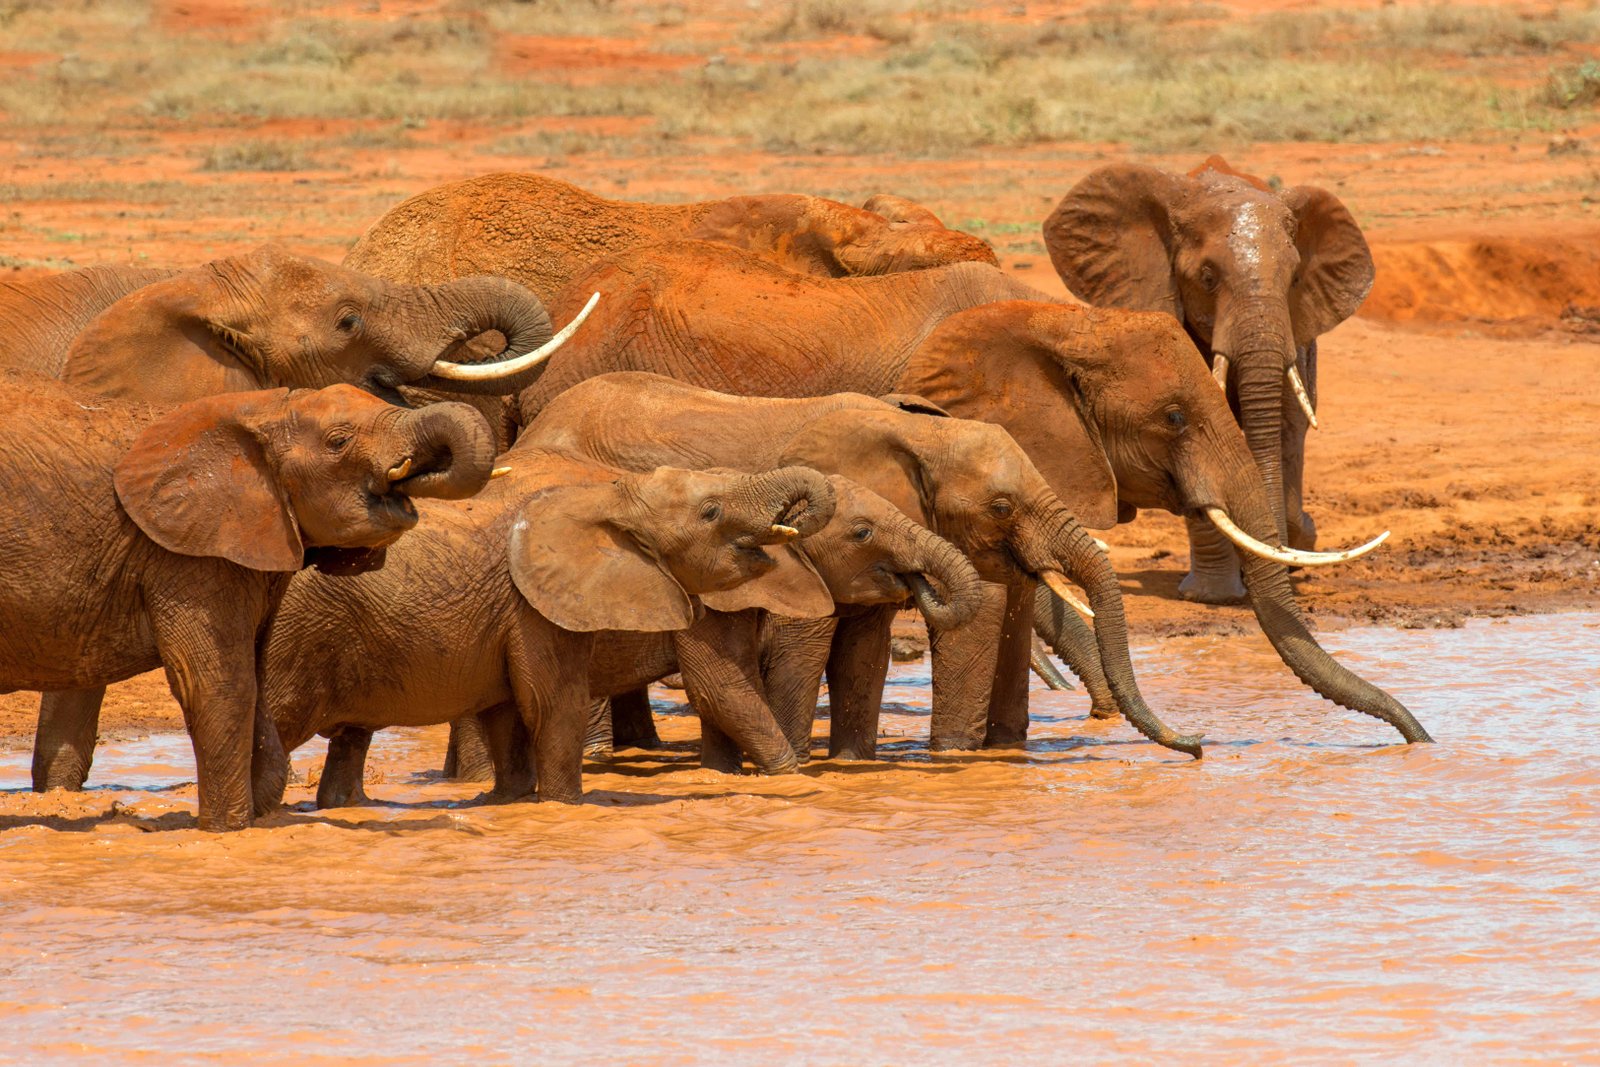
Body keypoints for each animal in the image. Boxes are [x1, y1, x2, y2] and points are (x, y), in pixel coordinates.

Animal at [0, 374, 498, 830]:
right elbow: (221, 684)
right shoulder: (190, 553)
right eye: (338, 442)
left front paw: (259, 814)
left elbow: (255, 680)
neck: (259, 410)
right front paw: (226, 831)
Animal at [255, 445, 839, 810]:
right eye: (711, 512)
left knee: (350, 739)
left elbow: (508, 713)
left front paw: (509, 802)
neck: (609, 495)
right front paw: (565, 805)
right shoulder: (534, 607)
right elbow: (555, 704)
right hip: (294, 640)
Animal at [515, 243, 1428, 748]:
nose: (1419, 735)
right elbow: (990, 601)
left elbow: (1020, 596)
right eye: (1173, 416)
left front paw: (1016, 748)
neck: (1062, 321)